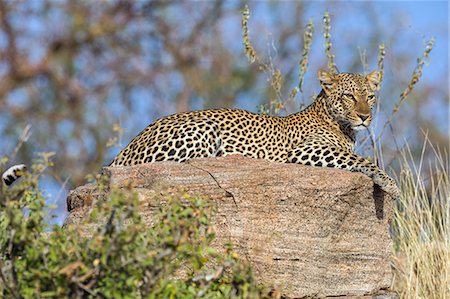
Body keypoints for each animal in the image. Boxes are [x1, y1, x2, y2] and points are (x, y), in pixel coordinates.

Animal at [110, 70, 400, 199]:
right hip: (202, 129)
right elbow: (362, 160)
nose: (364, 117)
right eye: (349, 96)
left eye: (370, 97)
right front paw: (391, 186)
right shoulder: (304, 150)